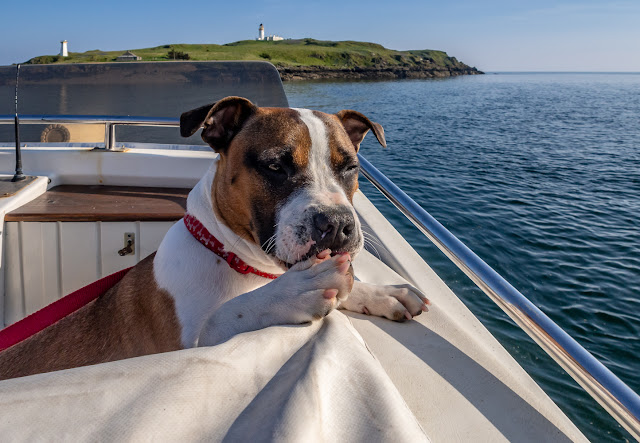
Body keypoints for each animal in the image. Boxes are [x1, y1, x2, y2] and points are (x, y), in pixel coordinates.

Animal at [1, 98, 430, 382]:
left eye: (351, 167)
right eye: (275, 166)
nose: (338, 224)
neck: (238, 261)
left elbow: (348, 281)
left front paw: (382, 292)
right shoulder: (188, 347)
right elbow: (233, 312)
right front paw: (298, 290)